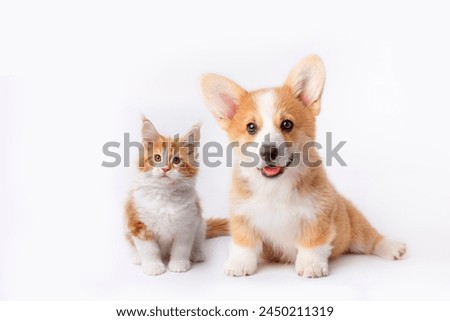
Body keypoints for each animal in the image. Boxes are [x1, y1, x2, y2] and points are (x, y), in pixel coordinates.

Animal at [124, 116, 207, 274]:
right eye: (157, 158)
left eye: (176, 160)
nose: (165, 169)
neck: (164, 194)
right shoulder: (138, 223)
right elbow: (149, 250)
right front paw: (153, 267)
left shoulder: (187, 224)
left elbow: (181, 249)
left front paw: (179, 264)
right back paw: (136, 258)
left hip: (200, 225)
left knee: (198, 241)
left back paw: (197, 254)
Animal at [200, 54, 404, 276]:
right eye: (251, 127)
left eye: (287, 124)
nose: (268, 151)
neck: (274, 187)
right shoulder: (242, 215)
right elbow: (243, 243)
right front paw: (239, 264)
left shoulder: (317, 214)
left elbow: (312, 242)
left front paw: (311, 265)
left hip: (355, 226)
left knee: (371, 239)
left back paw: (393, 248)